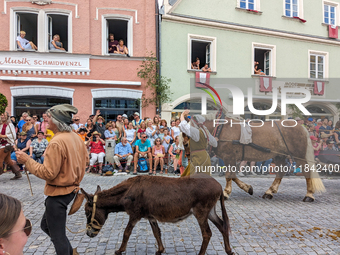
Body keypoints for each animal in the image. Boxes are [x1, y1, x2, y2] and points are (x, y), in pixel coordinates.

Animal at [70, 175, 235, 255]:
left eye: (86, 212)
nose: (88, 234)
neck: (128, 191)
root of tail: (218, 185)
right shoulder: (150, 217)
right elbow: (157, 233)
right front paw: (160, 250)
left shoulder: (134, 215)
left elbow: (126, 233)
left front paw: (120, 250)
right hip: (210, 212)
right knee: (222, 226)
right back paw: (228, 251)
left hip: (201, 212)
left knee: (207, 233)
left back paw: (201, 254)